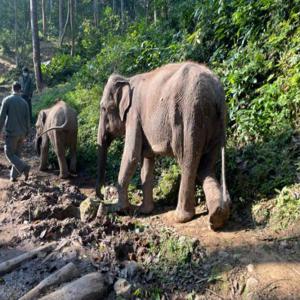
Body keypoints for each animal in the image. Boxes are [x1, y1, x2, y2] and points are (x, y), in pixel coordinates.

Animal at [96, 61, 230, 230]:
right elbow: (147, 158)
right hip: (216, 123)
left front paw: (119, 209)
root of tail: (216, 93)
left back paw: (180, 217)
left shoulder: (134, 114)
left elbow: (131, 155)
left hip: (190, 116)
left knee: (188, 161)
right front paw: (144, 211)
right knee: (206, 167)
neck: (127, 79)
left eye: (103, 108)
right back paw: (218, 217)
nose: (101, 196)